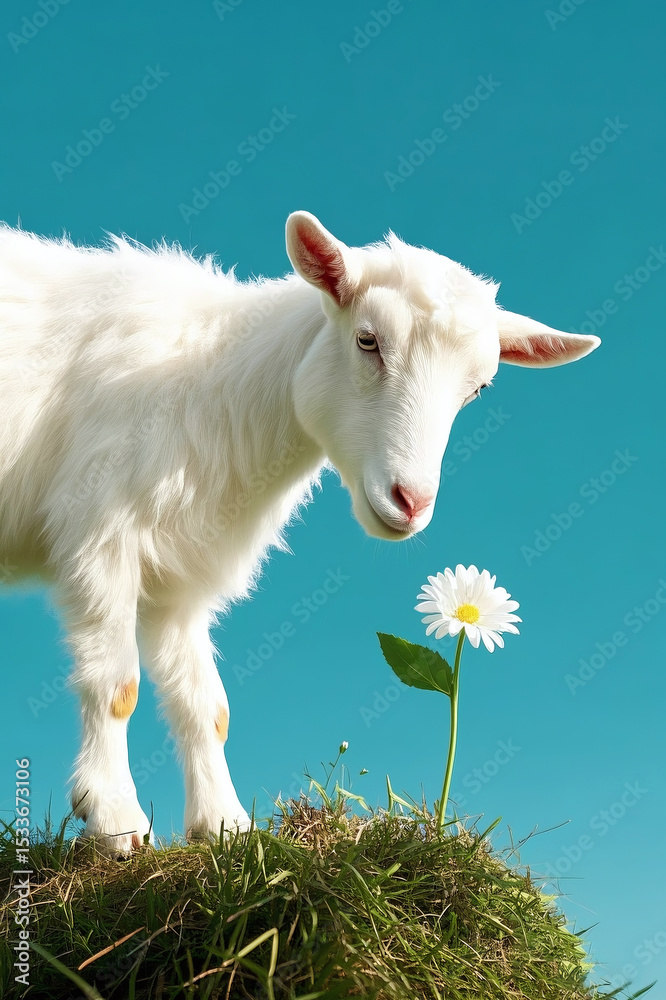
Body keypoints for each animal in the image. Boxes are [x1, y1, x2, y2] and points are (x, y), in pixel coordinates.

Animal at [0, 211, 600, 853]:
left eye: (479, 387)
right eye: (367, 340)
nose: (411, 502)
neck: (215, 381)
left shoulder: (182, 573)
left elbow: (205, 705)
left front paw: (225, 826)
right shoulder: (101, 531)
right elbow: (117, 687)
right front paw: (115, 820)